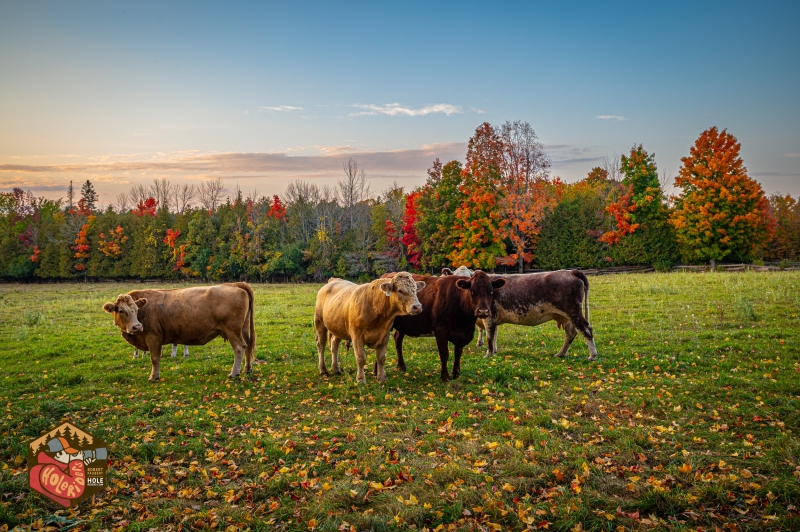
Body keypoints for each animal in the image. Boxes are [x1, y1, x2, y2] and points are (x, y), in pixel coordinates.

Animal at [101, 282, 255, 382]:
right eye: (121, 311)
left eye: (136, 309)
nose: (137, 327)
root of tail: (234, 284)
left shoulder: (153, 337)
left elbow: (155, 358)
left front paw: (154, 377)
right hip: (244, 328)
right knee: (248, 346)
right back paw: (247, 369)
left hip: (233, 330)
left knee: (239, 348)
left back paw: (234, 373)